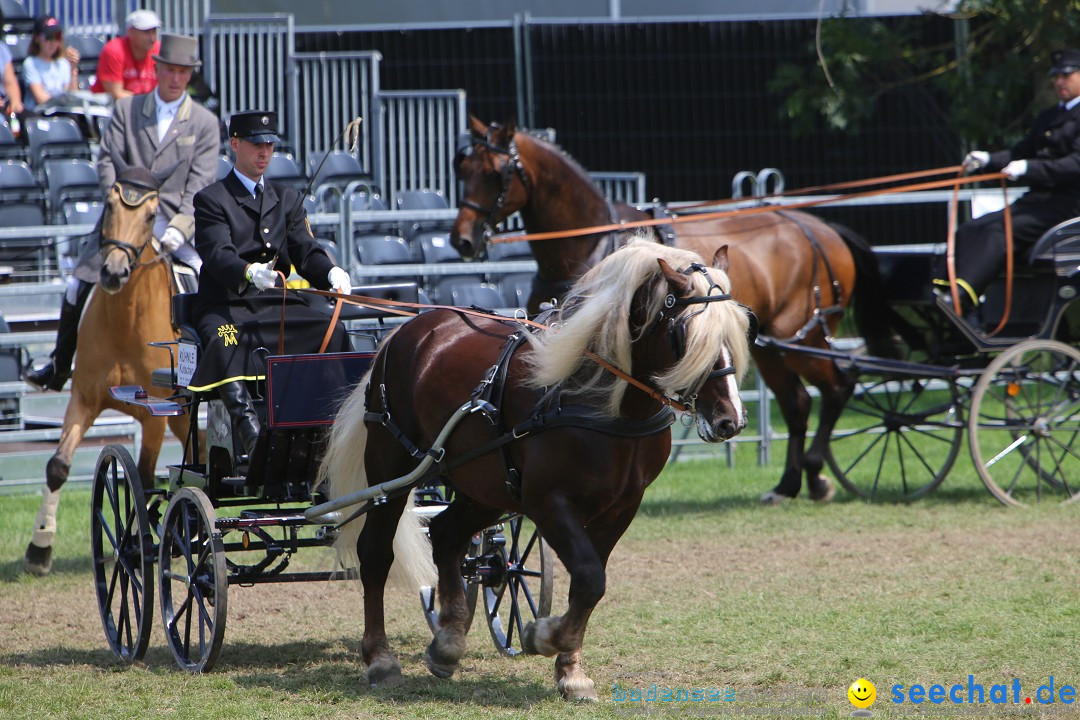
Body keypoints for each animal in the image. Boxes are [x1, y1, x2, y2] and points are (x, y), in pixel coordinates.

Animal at [24, 166, 191, 578]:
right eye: (110, 205)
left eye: (151, 215)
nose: (114, 272)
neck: (125, 320)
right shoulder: (83, 399)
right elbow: (57, 467)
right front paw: (39, 549)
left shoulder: (154, 418)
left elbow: (144, 479)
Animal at [317, 240, 751, 699]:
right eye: (683, 333)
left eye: (742, 327)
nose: (731, 420)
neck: (603, 402)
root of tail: (406, 332)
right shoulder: (547, 502)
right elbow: (589, 577)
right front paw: (543, 636)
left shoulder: (621, 507)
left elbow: (589, 582)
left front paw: (570, 670)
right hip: (392, 467)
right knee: (376, 553)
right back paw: (380, 659)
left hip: (487, 486)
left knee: (446, 534)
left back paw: (448, 643)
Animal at [447, 115, 894, 505]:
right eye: (462, 167)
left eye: (495, 173)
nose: (462, 239)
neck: (591, 238)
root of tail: (818, 227)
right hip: (770, 346)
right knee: (798, 403)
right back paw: (789, 485)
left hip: (800, 335)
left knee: (836, 387)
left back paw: (814, 475)